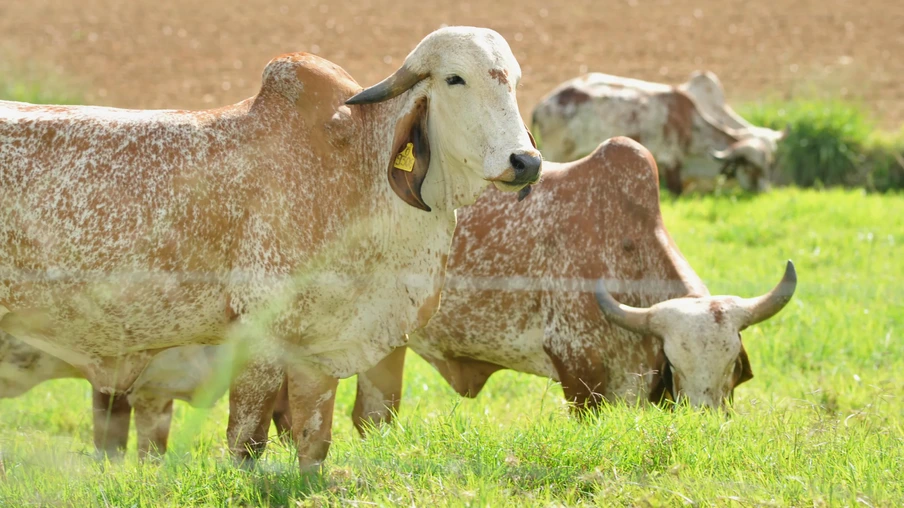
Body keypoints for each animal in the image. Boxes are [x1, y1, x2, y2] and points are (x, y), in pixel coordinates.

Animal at [0, 26, 540, 471]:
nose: (526, 161)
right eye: (455, 79)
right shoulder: (256, 333)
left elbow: (313, 442)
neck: (357, 166)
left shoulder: (319, 350)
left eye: (513, 80)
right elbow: (246, 441)